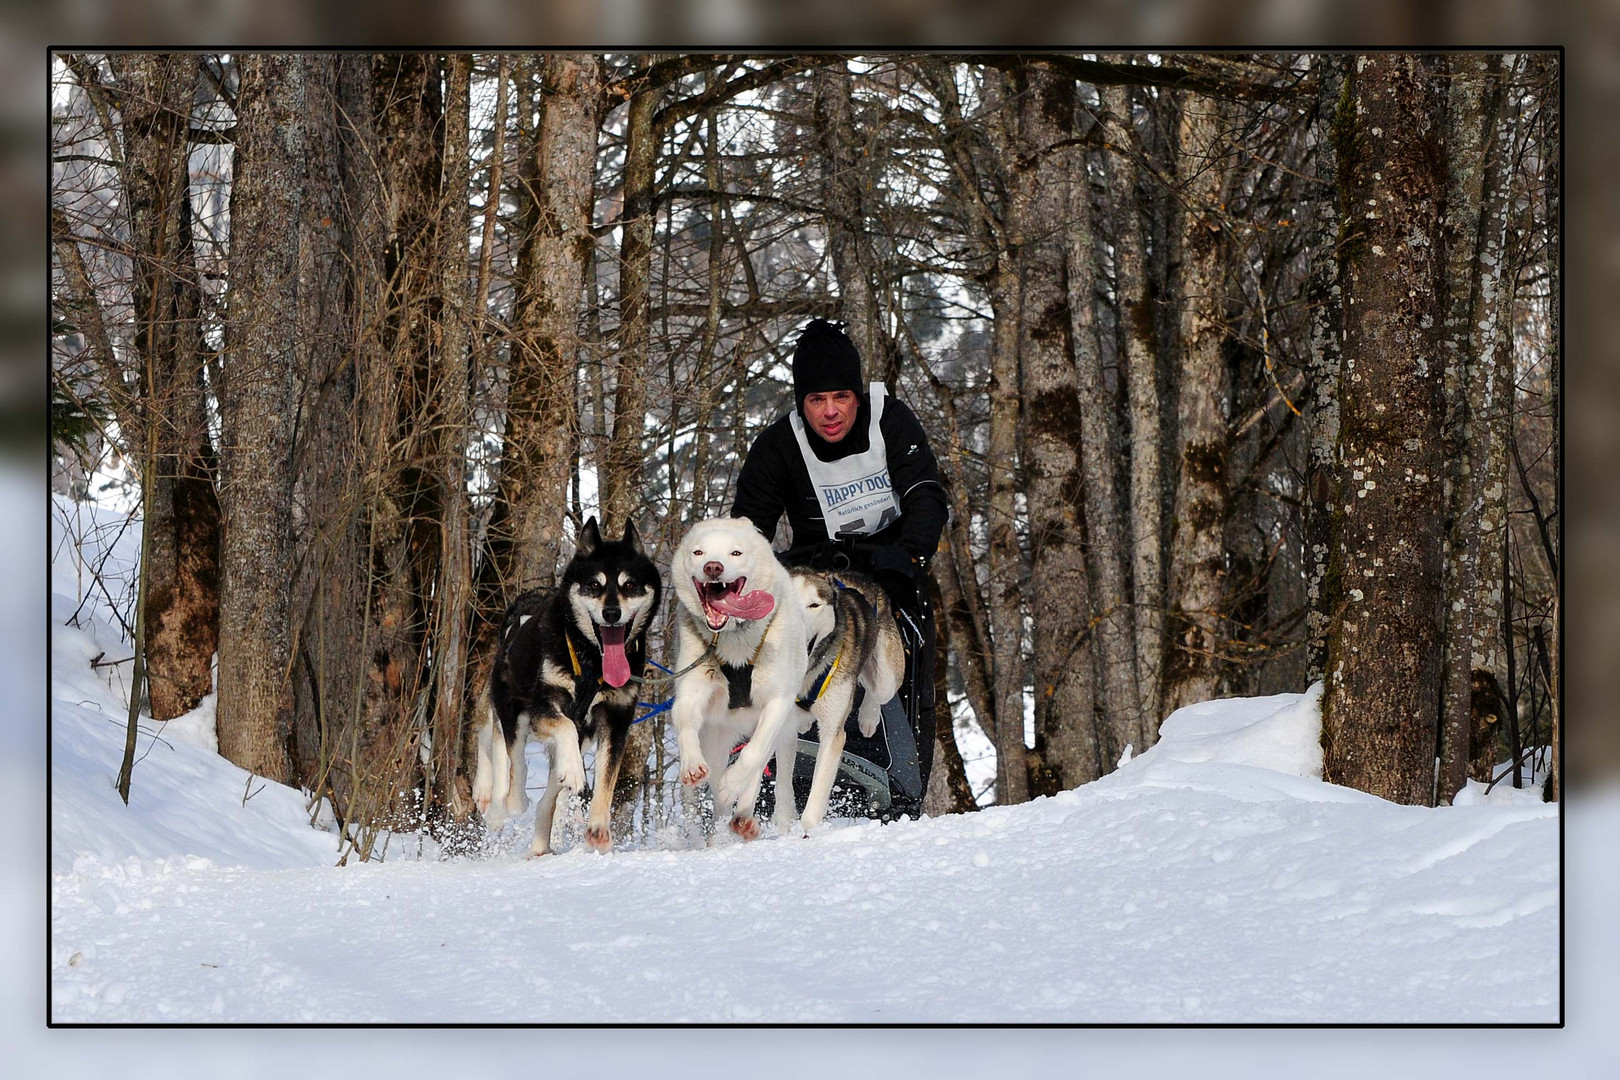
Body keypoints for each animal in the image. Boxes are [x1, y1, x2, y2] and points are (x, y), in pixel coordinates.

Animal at [473, 518, 660, 854]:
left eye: (629, 585)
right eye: (594, 585)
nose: (611, 613)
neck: (591, 661)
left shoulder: (615, 721)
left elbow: (606, 778)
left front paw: (598, 828)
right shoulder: (542, 706)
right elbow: (560, 730)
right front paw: (572, 769)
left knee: (545, 793)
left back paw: (539, 838)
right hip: (511, 709)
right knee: (504, 753)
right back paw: (500, 801)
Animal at [667, 518, 806, 841]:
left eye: (735, 553)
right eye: (699, 552)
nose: (713, 567)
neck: (734, 644)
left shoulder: (777, 703)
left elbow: (753, 756)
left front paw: (732, 785)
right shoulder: (691, 691)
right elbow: (685, 723)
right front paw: (692, 764)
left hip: (783, 732)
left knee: (762, 766)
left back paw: (743, 813)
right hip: (716, 738)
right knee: (711, 797)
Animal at [787, 569, 907, 835]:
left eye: (814, 605)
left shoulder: (833, 733)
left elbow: (815, 799)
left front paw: (807, 832)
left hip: (886, 679)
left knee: (876, 691)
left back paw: (868, 718)